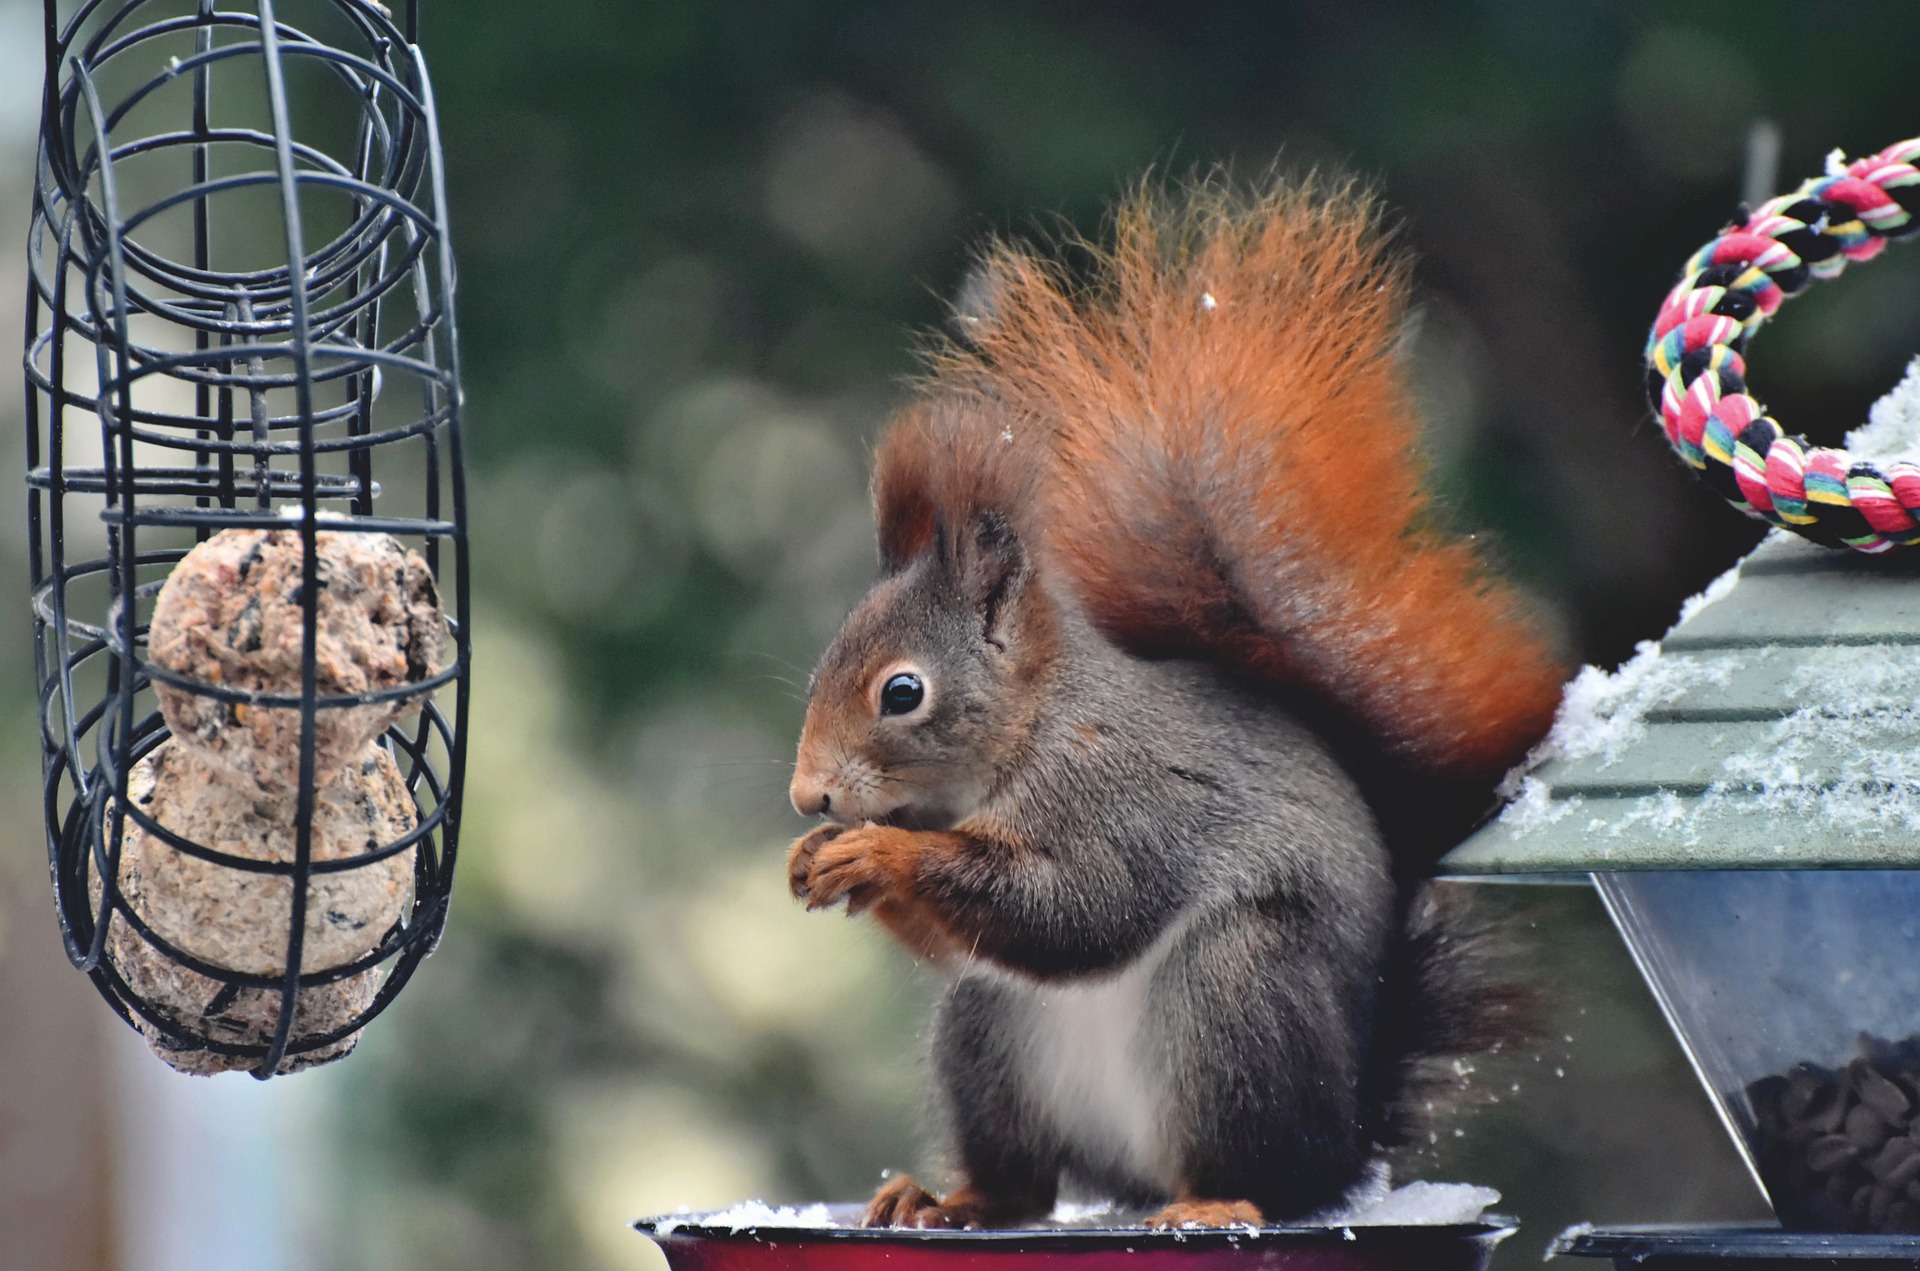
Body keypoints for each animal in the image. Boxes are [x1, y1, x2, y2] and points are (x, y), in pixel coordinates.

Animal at [787, 176, 1566, 1236]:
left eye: (901, 692)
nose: (807, 797)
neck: (1027, 734)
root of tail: (1346, 1134)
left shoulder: (1126, 792)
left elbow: (1081, 907)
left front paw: (880, 853)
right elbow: (984, 937)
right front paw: (818, 860)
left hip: (1238, 997)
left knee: (1263, 1168)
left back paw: (1219, 1199)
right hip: (985, 1036)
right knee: (1024, 1178)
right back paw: (948, 1200)